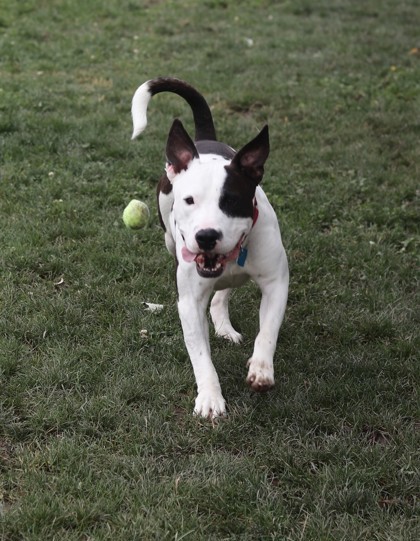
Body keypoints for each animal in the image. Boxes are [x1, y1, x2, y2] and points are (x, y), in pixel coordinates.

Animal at [131, 78, 288, 420]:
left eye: (231, 200)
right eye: (189, 200)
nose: (206, 236)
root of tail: (204, 139)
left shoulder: (276, 282)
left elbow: (267, 330)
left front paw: (261, 369)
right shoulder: (189, 302)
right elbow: (201, 355)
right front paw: (210, 398)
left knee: (223, 292)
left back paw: (224, 325)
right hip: (169, 240)